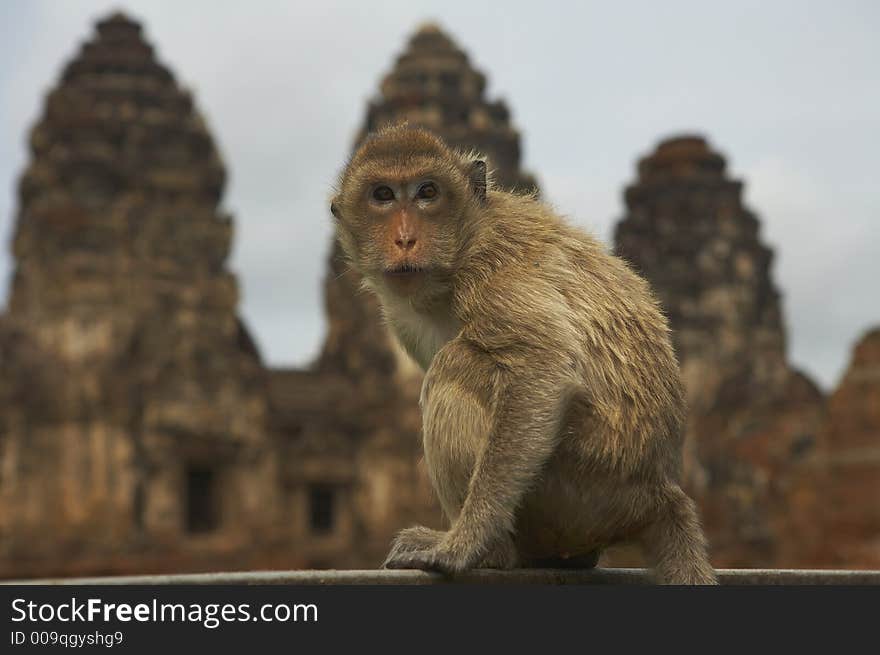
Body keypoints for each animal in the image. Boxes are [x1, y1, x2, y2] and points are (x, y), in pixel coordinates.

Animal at [326, 123, 720, 584]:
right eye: (383, 195)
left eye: (427, 192)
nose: (405, 238)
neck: (462, 248)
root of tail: (660, 496)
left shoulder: (493, 274)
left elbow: (542, 368)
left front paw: (465, 544)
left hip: (579, 491)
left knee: (454, 367)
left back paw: (495, 552)